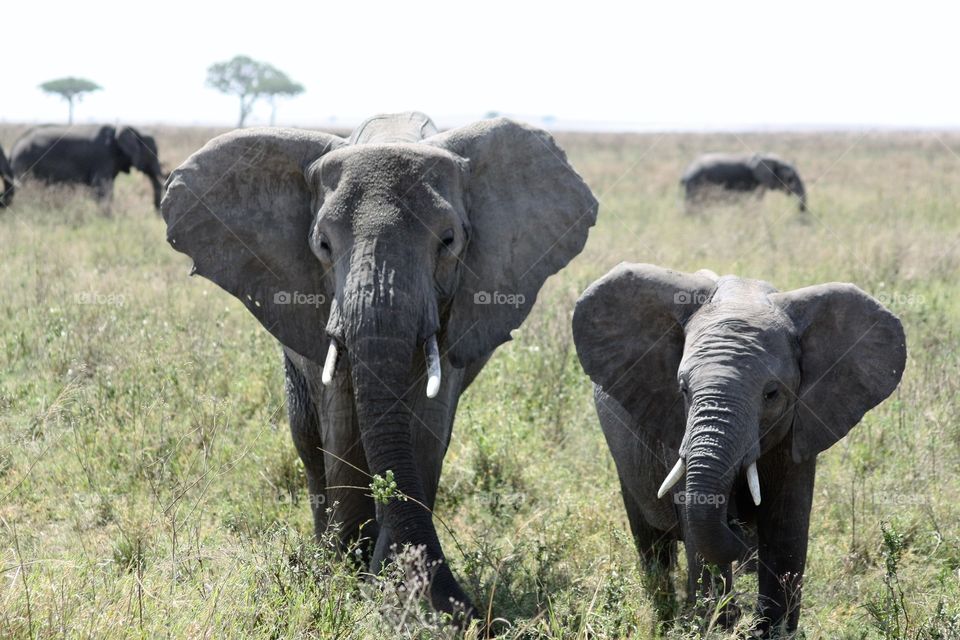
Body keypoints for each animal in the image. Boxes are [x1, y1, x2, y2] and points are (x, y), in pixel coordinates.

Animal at [10, 124, 164, 210]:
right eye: (152, 154)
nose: (156, 213)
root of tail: (14, 146)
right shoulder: (103, 157)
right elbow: (102, 188)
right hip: (25, 163)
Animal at [161, 112, 598, 623]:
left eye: (448, 241)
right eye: (322, 244)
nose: (470, 612)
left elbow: (426, 430)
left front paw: (404, 590)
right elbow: (343, 426)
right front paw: (350, 581)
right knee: (307, 442)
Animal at [572, 263, 905, 636]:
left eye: (772, 394)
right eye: (683, 390)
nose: (736, 523)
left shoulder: (800, 426)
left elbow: (786, 524)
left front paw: (771, 631)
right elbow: (699, 521)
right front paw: (717, 626)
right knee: (651, 542)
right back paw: (665, 613)